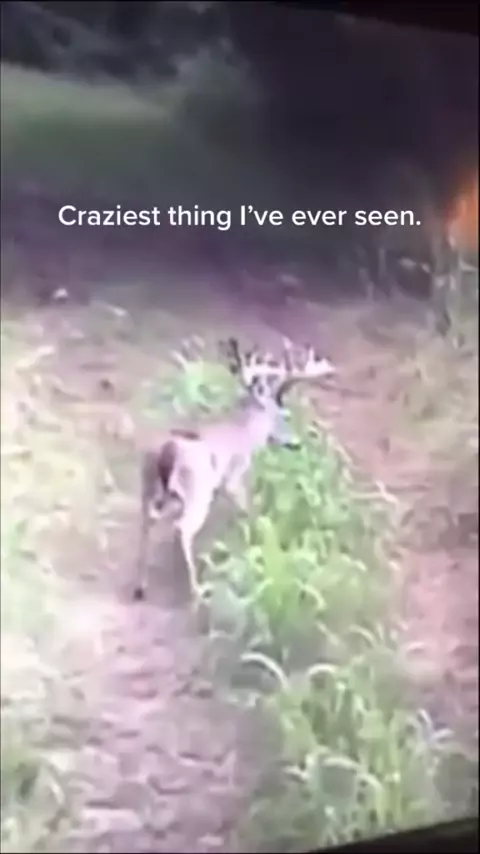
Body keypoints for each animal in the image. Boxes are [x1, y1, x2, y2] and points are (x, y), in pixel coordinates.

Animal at [133, 337, 336, 602]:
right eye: (283, 415)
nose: (295, 442)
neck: (245, 433)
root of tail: (167, 454)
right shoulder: (233, 476)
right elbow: (247, 510)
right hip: (197, 493)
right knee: (182, 528)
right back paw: (196, 591)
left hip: (148, 486)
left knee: (147, 522)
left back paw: (141, 586)